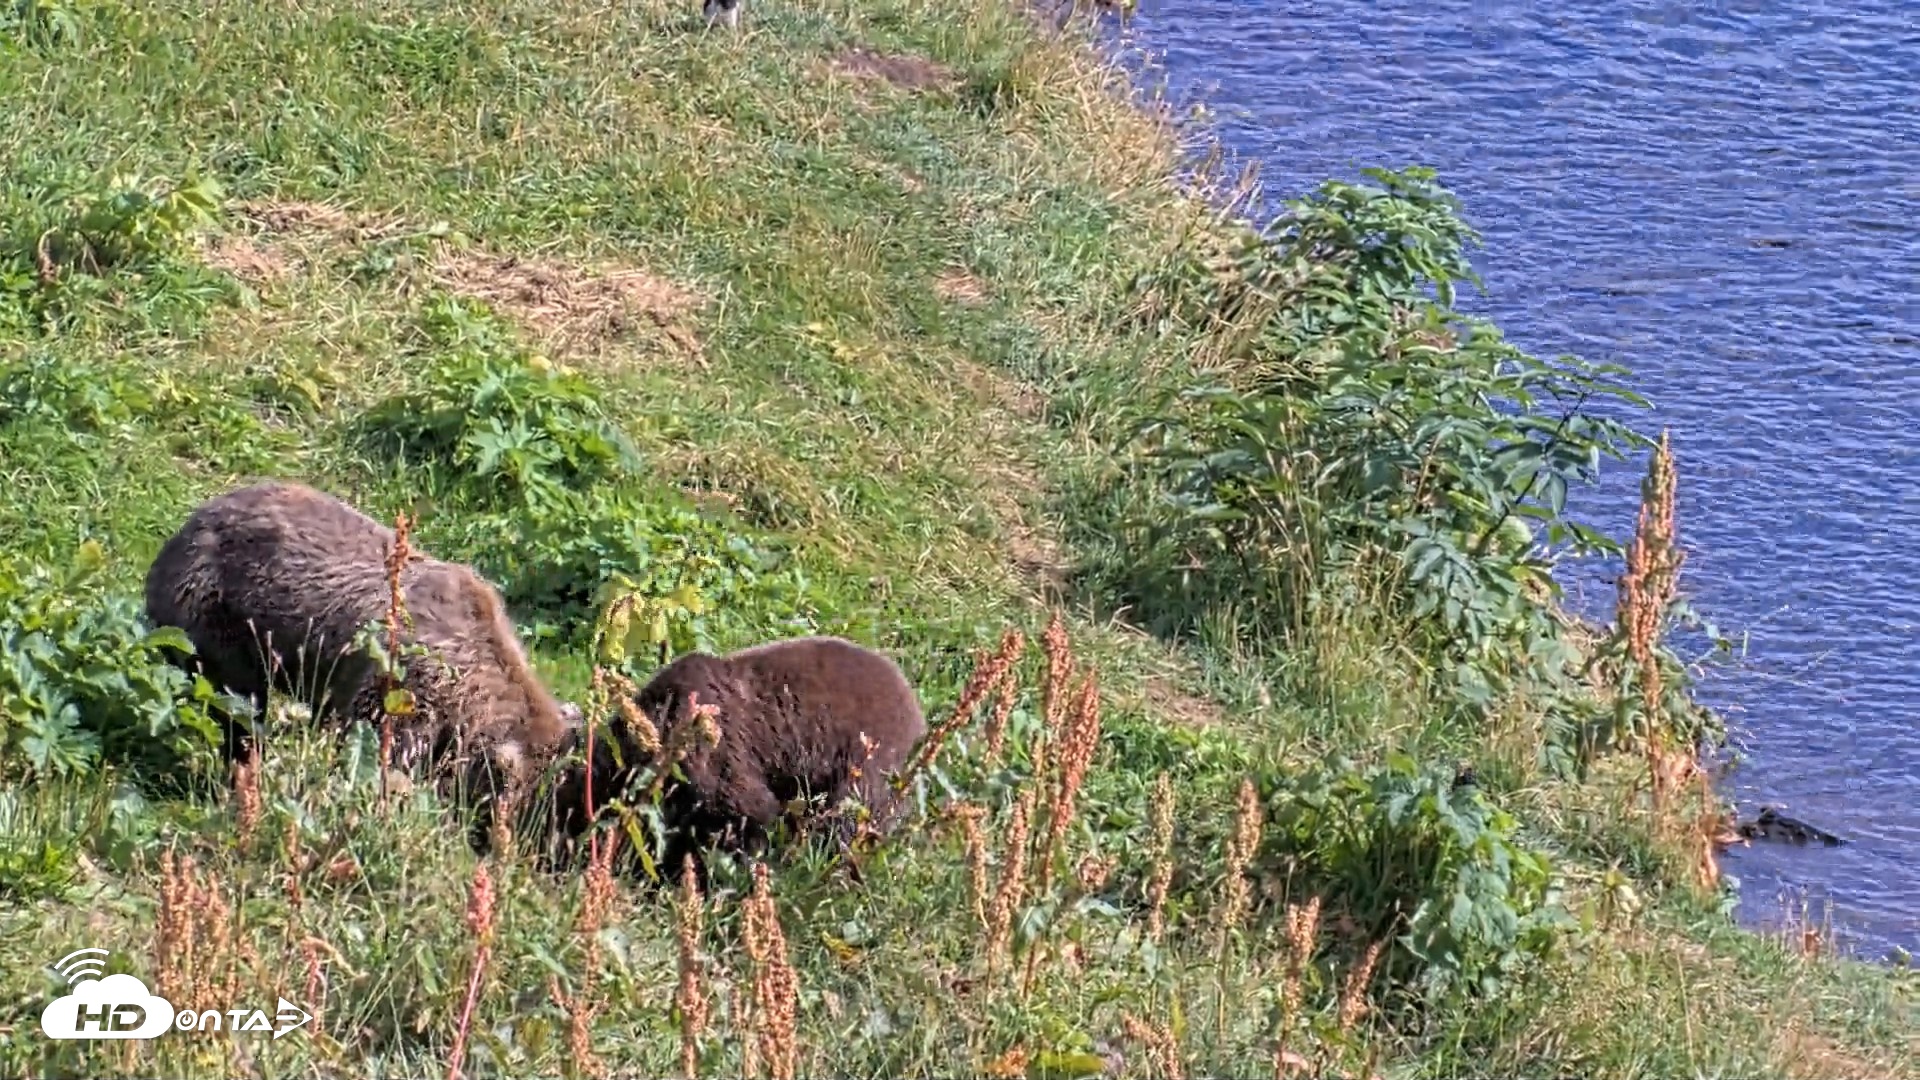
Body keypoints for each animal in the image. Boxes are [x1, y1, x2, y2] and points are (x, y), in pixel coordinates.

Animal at [143, 480, 577, 839]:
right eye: (509, 808)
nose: (507, 845)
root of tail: (186, 527)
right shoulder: (404, 680)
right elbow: (376, 740)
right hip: (216, 618)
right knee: (237, 707)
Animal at [543, 635, 928, 883]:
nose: (549, 858)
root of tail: (912, 697)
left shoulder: (714, 753)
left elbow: (746, 811)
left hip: (864, 754)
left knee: (851, 816)